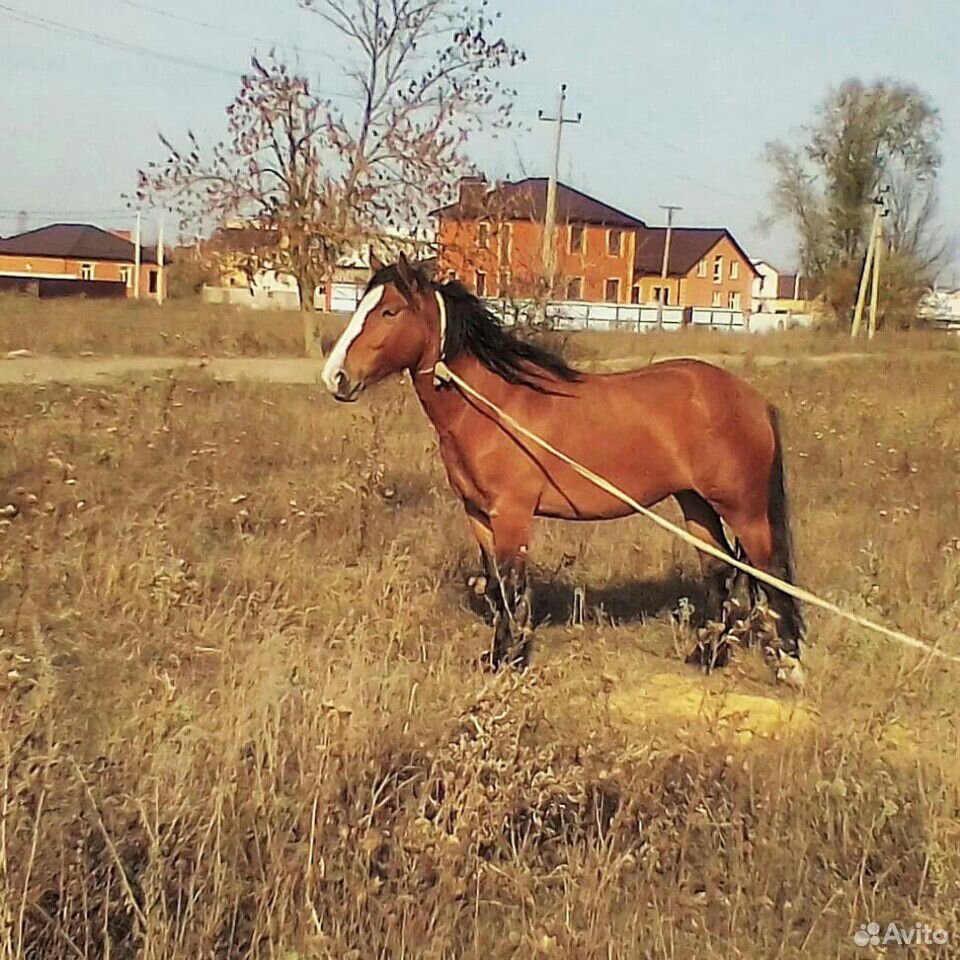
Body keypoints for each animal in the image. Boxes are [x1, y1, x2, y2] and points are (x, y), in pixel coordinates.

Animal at [322, 258, 804, 672]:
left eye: (389, 311)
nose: (335, 377)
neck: (494, 405)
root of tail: (754, 400)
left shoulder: (512, 514)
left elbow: (512, 585)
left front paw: (512, 659)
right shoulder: (478, 513)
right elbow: (495, 583)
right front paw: (497, 657)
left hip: (744, 509)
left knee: (771, 571)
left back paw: (788, 663)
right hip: (696, 503)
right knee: (720, 570)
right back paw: (707, 656)